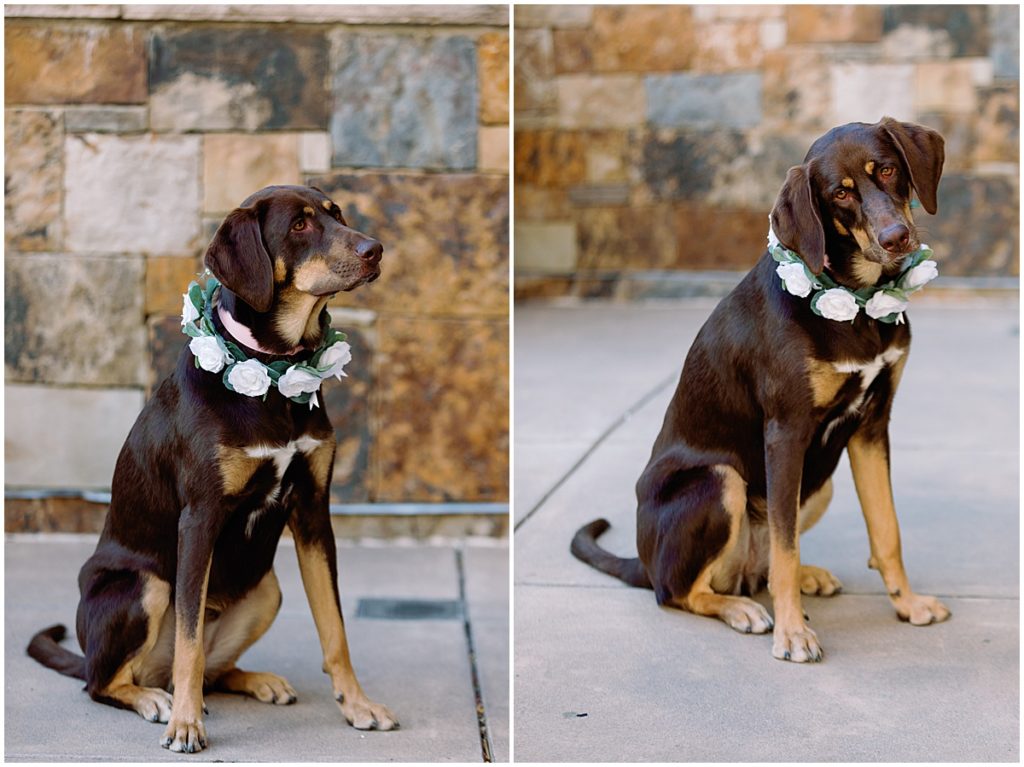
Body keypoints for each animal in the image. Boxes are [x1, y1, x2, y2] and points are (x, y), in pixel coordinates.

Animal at [28, 184, 395, 749]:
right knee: (104, 682)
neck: (272, 373)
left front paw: (357, 704)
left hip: (266, 588)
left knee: (214, 673)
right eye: (300, 225)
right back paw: (156, 700)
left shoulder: (314, 511)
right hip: (145, 586)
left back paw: (253, 681)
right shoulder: (199, 518)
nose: (375, 250)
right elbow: (190, 642)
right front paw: (185, 723)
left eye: (337, 214)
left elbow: (335, 627)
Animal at [577, 116, 950, 659]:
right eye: (839, 193)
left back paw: (802, 579)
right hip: (720, 482)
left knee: (760, 565)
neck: (857, 305)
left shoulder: (872, 425)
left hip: (819, 482)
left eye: (886, 169)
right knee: (681, 590)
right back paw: (742, 609)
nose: (896, 237)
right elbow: (786, 548)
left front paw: (909, 604)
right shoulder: (787, 432)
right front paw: (792, 633)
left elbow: (886, 530)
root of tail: (643, 560)